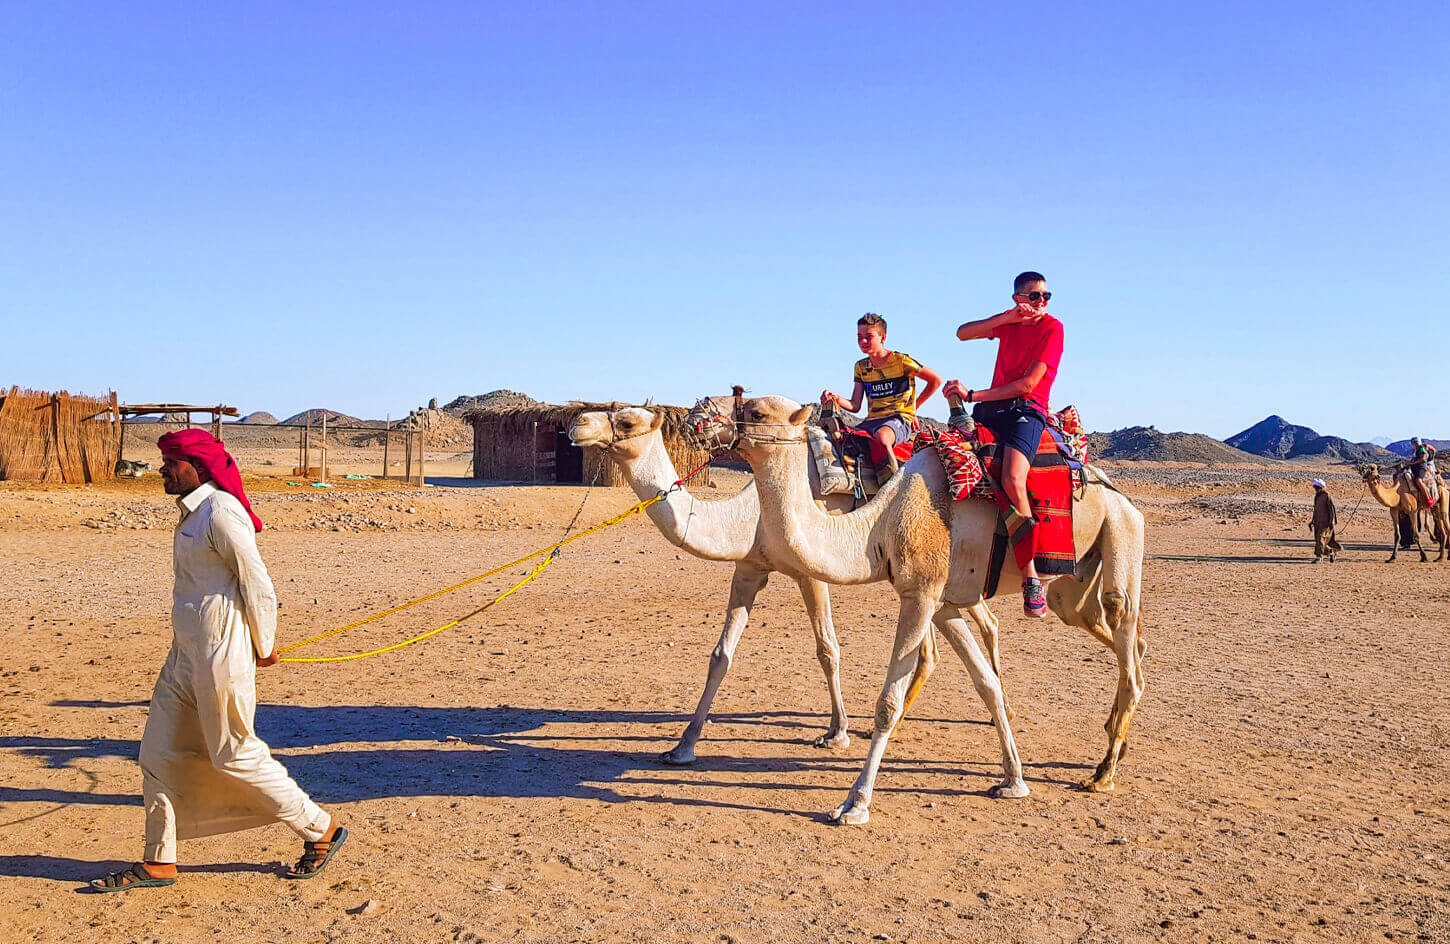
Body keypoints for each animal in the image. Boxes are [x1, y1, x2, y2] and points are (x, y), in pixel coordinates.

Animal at [567, 406, 864, 764]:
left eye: (627, 422)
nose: (579, 423)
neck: (753, 512)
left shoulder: (810, 572)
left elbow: (827, 650)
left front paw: (838, 733)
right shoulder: (748, 570)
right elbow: (721, 656)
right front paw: (683, 746)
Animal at [710, 395, 1146, 825]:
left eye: (757, 411)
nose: (703, 417)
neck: (877, 529)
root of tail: (1120, 494)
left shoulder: (920, 595)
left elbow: (887, 703)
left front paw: (855, 804)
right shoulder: (943, 603)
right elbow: (985, 683)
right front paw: (1013, 780)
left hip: (1122, 529)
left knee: (1121, 620)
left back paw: (1104, 771)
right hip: (1075, 580)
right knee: (1105, 628)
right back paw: (1116, 738)